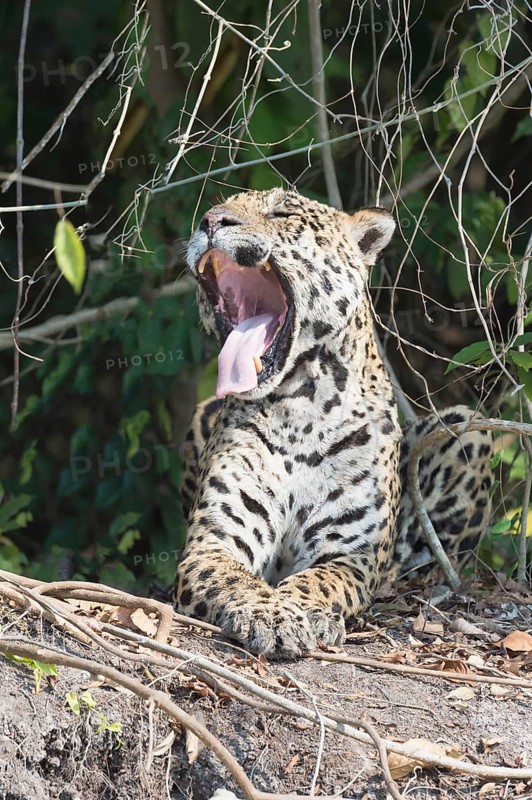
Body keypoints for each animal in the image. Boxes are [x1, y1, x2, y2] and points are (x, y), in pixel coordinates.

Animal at [174, 187, 492, 659]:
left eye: (282, 213)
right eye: (214, 209)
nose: (211, 221)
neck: (300, 412)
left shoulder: (351, 554)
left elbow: (319, 580)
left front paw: (303, 612)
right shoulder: (213, 542)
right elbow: (235, 579)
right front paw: (272, 615)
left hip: (465, 429)